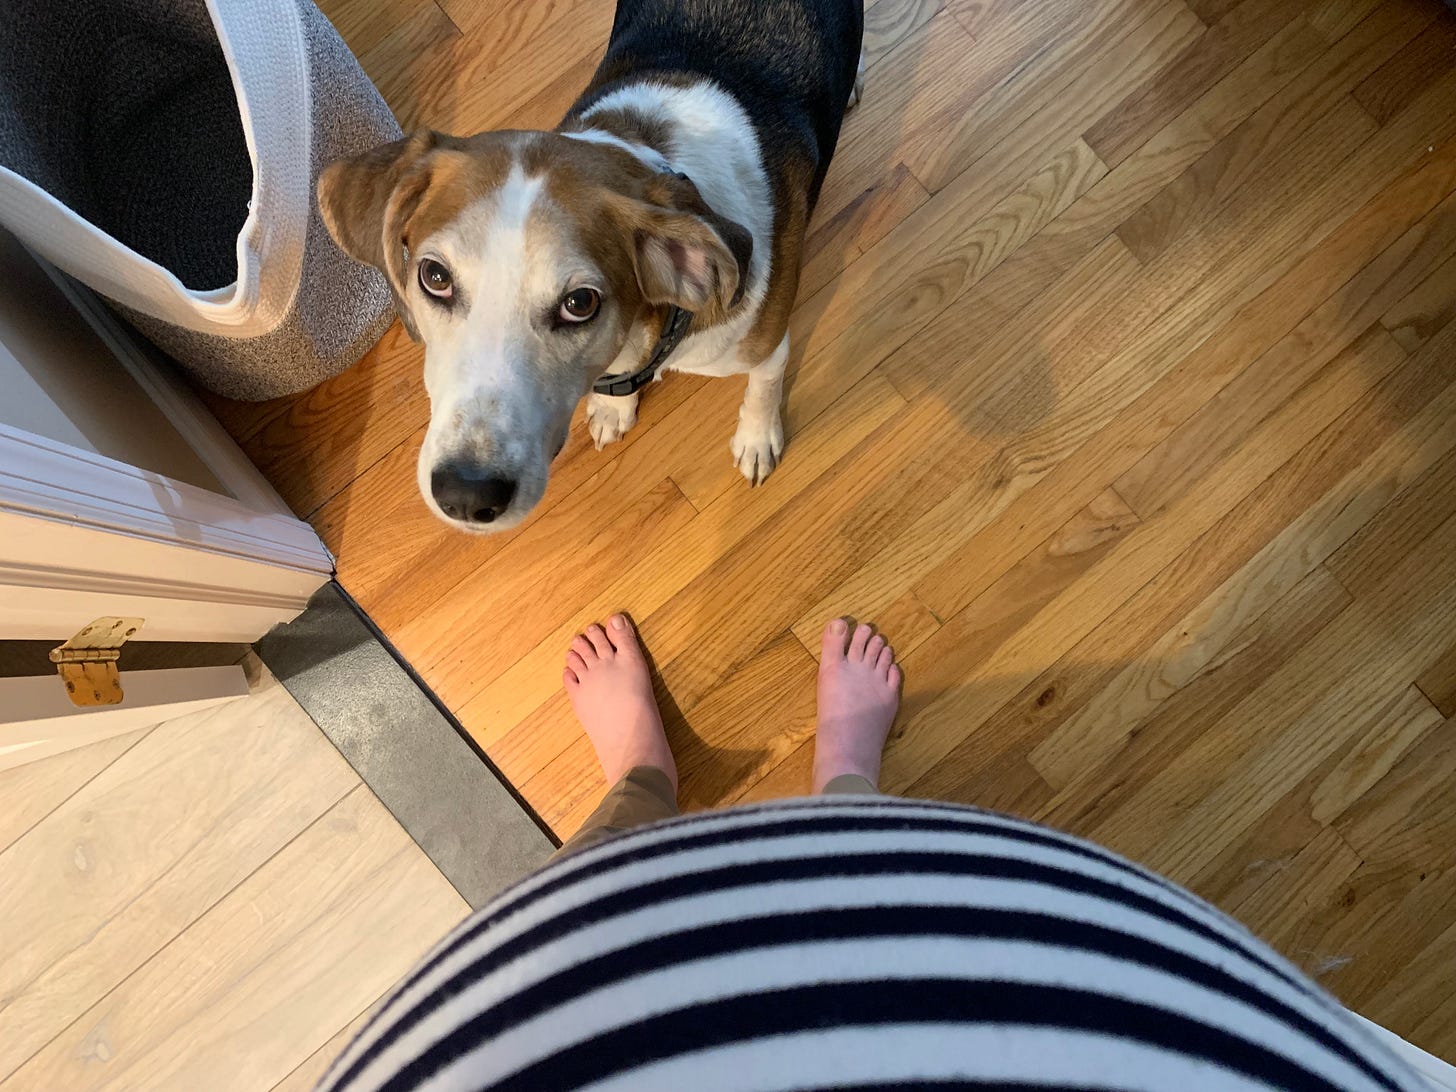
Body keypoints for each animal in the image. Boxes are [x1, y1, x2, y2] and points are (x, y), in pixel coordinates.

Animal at [320, 0, 861, 532]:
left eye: (580, 303)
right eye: (434, 277)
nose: (466, 496)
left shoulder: (767, 345)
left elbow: (763, 387)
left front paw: (756, 437)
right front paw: (612, 407)